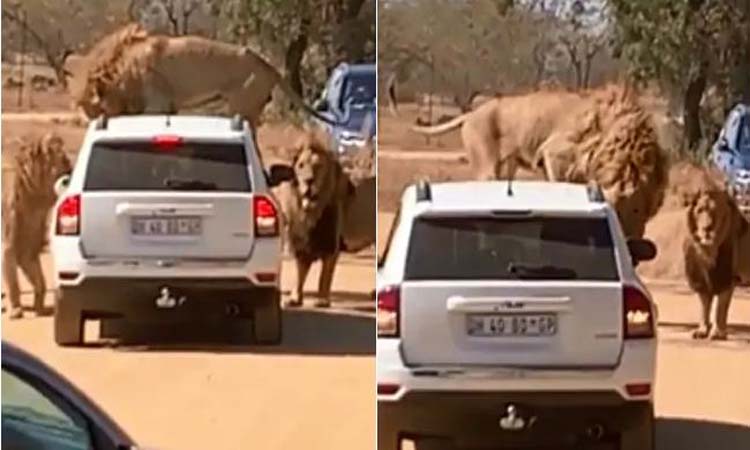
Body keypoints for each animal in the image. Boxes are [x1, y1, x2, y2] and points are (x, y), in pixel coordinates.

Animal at [2, 132, 72, 318]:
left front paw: (40, 308)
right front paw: (16, 310)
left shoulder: (30, 234)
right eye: (65, 162)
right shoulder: (7, 236)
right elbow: (12, 276)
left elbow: (38, 276)